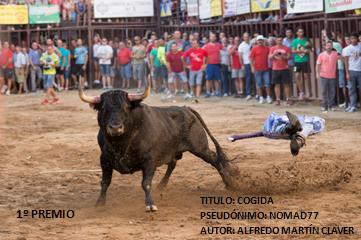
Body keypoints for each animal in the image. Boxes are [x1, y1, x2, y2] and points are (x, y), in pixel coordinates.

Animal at [77, 85, 238, 212]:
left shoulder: (149, 160)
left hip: (200, 148)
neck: (121, 142)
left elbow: (146, 183)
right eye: (104, 108)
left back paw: (230, 184)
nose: (115, 128)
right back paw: (161, 186)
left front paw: (150, 204)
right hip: (175, 150)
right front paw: (99, 203)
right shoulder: (104, 159)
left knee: (215, 160)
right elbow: (105, 182)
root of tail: (186, 109)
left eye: (126, 107)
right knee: (173, 163)